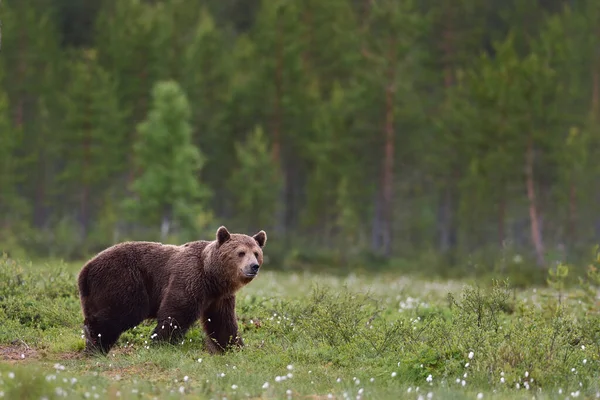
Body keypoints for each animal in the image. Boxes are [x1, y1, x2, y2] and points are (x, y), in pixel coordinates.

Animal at [76, 227, 266, 354]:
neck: (212, 276)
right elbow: (176, 312)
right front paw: (161, 343)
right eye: (241, 252)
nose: (253, 266)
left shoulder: (219, 297)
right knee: (124, 310)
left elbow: (223, 323)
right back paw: (96, 341)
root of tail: (85, 268)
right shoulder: (190, 278)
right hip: (123, 278)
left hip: (95, 293)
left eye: (256, 253)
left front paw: (234, 347)